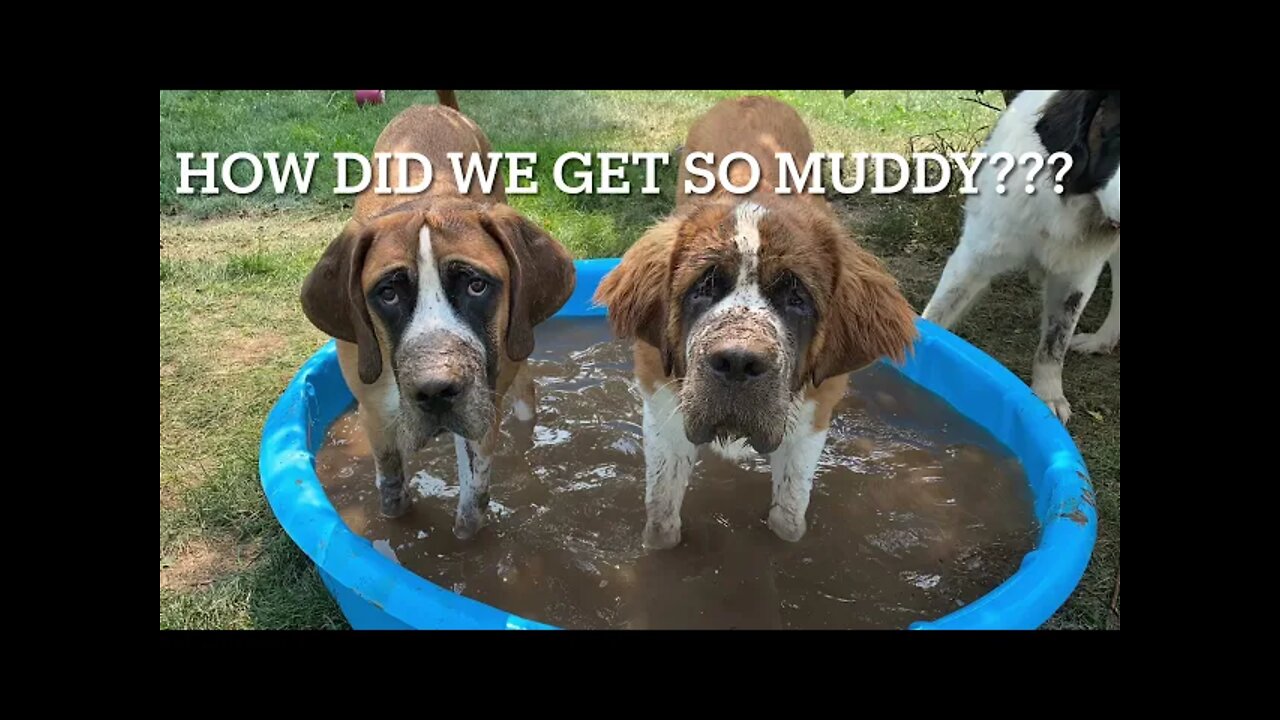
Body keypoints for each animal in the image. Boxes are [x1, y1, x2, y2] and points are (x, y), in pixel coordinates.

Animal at [302, 103, 573, 535]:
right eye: (388, 293)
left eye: (476, 286)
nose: (434, 390)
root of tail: (434, 108)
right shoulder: (376, 418)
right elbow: (392, 494)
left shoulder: (482, 419)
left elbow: (472, 507)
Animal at [593, 95, 916, 543]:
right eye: (704, 286)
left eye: (797, 297)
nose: (738, 362)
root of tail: (750, 97)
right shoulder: (663, 410)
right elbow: (661, 521)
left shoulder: (811, 418)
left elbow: (789, 517)